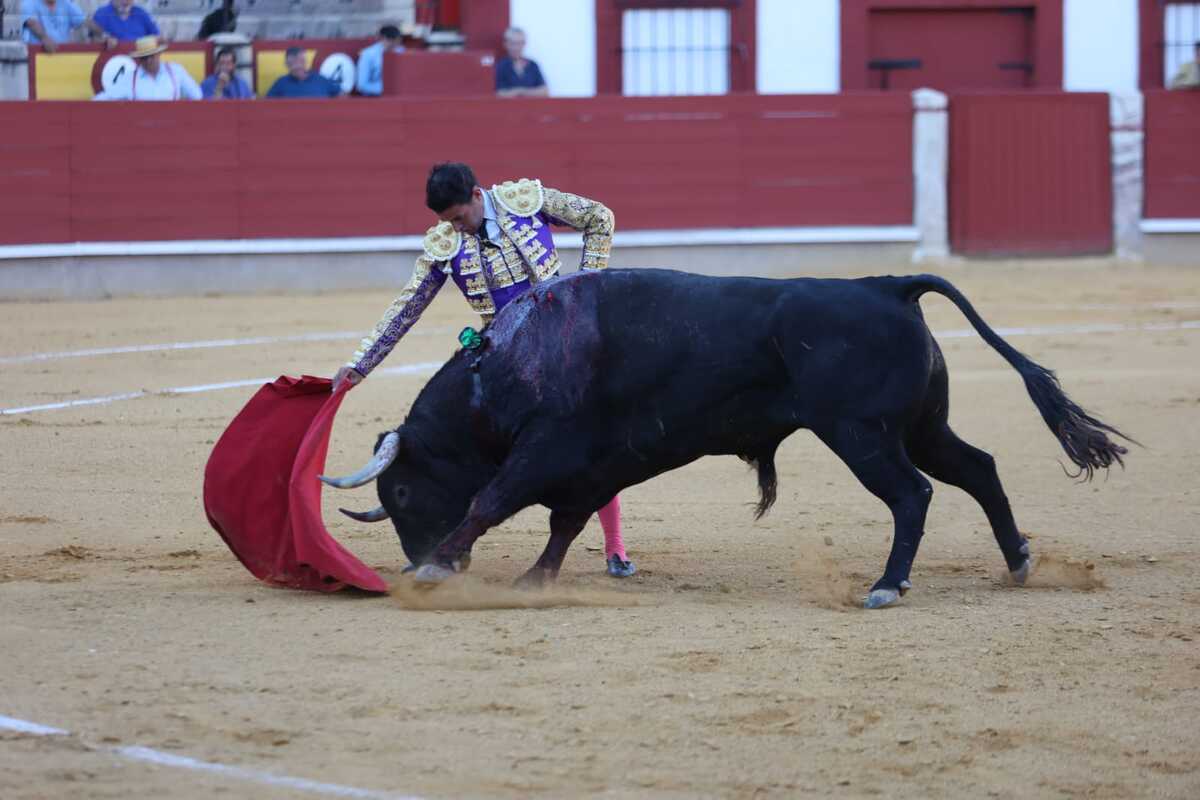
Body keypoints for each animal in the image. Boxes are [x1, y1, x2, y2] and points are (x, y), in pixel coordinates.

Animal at [324, 268, 1128, 606]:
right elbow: (564, 522)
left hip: (862, 435)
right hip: (922, 427)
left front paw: (440, 569)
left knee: (913, 494)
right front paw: (536, 579)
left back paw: (886, 585)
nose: (417, 559)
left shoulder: (547, 449)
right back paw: (1019, 562)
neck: (504, 367)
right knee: (979, 468)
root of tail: (884, 285)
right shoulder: (589, 467)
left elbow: (490, 501)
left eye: (401, 491)